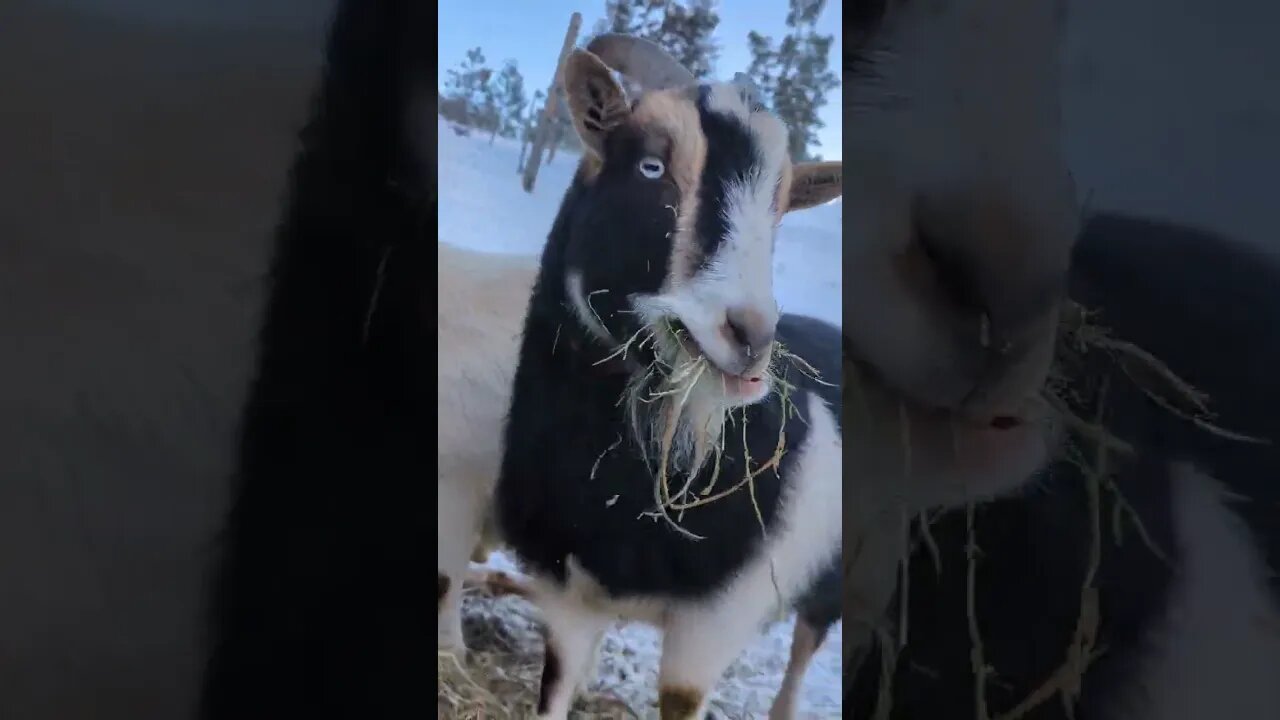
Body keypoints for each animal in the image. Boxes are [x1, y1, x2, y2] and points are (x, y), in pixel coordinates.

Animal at [492, 35, 845, 720]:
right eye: (651, 167)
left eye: (780, 209)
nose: (750, 335)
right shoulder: (569, 596)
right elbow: (555, 688)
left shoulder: (712, 628)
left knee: (806, 645)